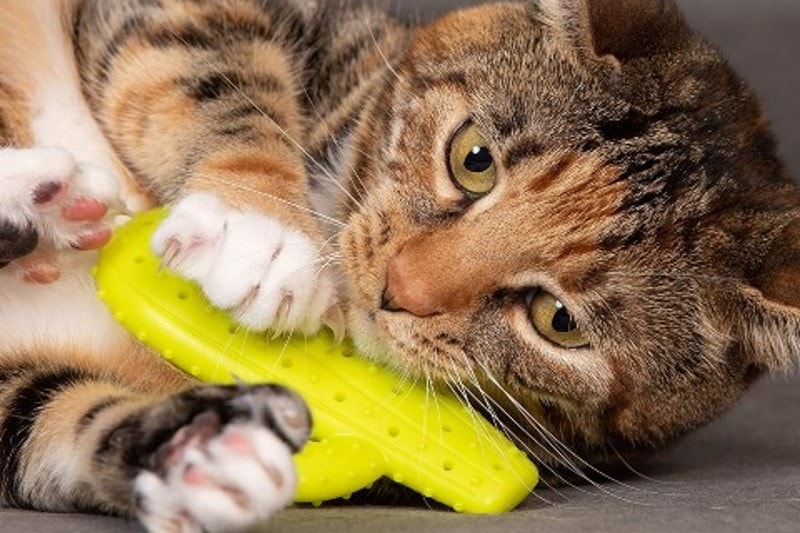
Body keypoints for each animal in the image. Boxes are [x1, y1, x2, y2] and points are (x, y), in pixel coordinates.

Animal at [1, 0, 800, 528]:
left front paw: (206, 452)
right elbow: (204, 58)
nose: (398, 288)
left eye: (559, 320)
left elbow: (55, 416)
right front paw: (260, 232)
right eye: (473, 158)